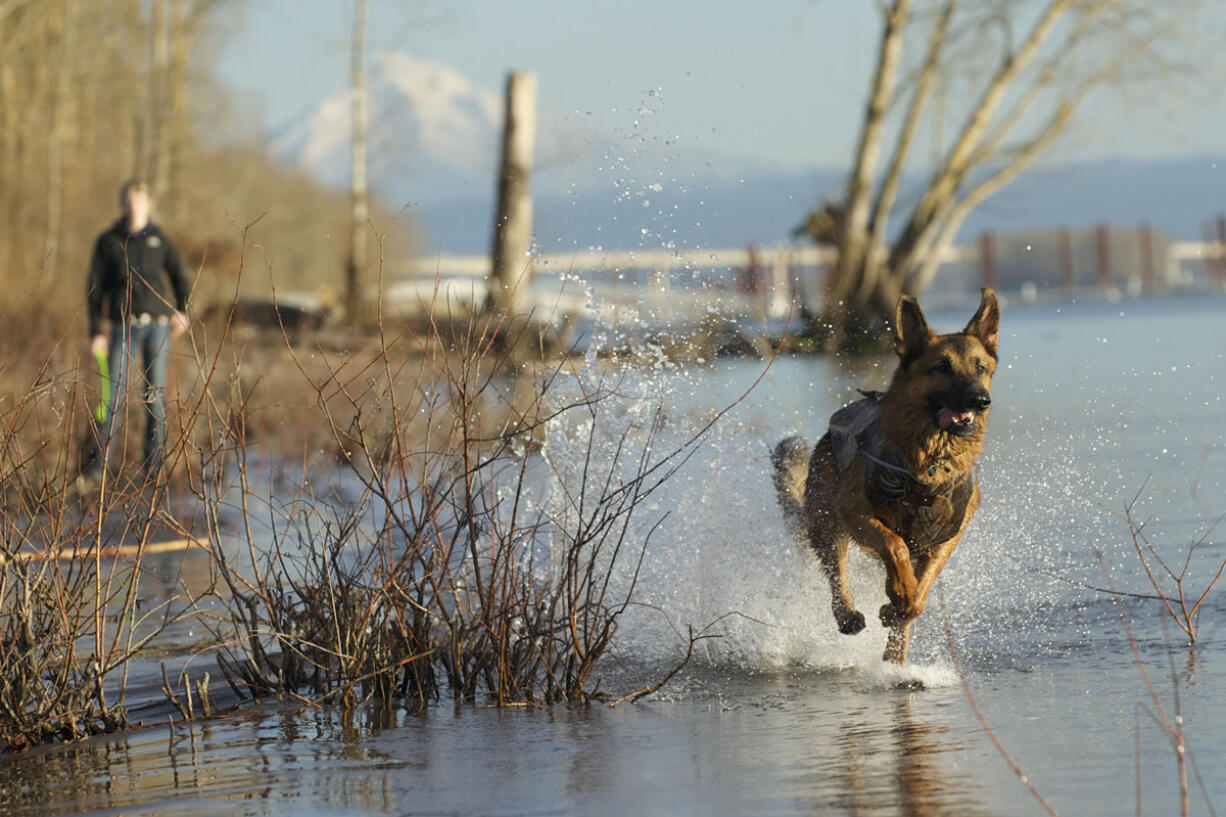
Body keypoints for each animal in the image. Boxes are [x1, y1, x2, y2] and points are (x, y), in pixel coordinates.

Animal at [774, 289, 995, 657]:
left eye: (981, 368)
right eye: (942, 367)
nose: (980, 400)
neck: (929, 463)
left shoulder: (944, 539)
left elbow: (919, 595)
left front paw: (901, 603)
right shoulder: (855, 513)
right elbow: (895, 545)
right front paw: (900, 590)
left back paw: (895, 655)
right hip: (828, 524)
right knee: (837, 572)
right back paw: (849, 614)